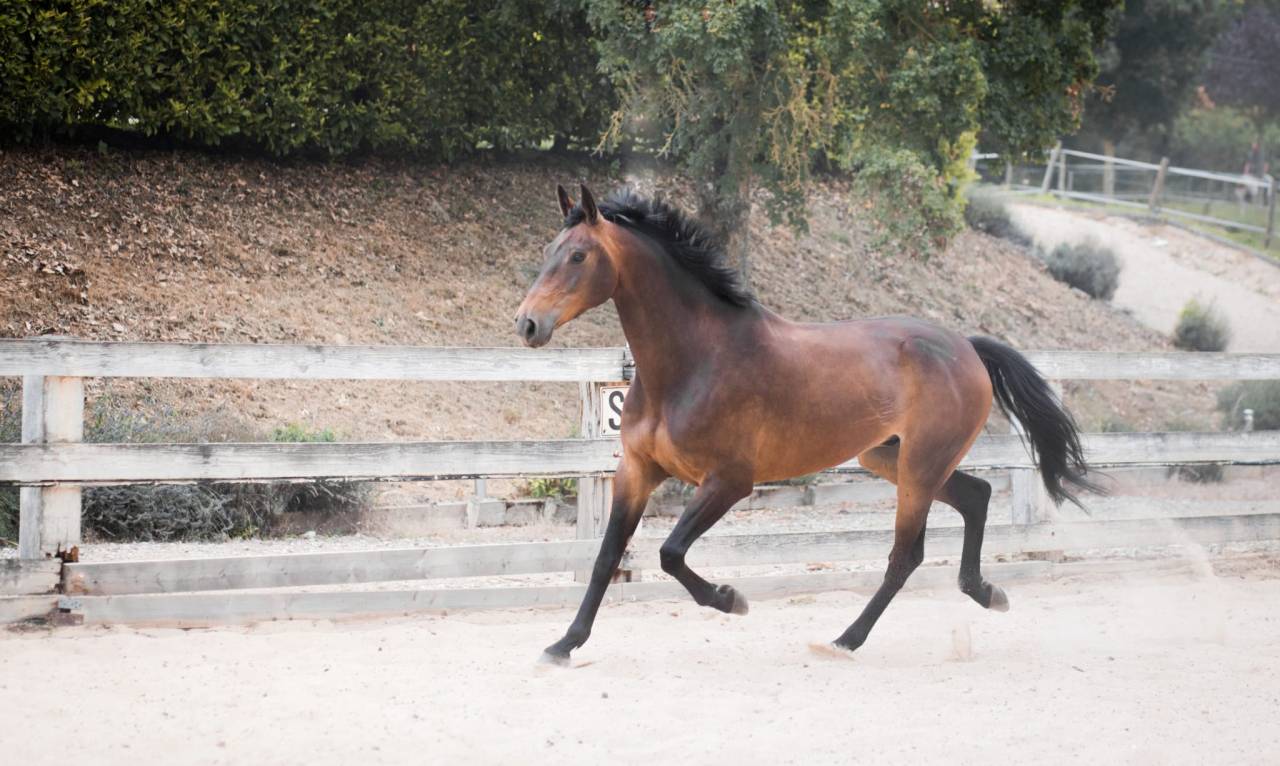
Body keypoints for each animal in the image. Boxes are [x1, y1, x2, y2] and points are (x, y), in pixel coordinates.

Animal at [515, 184, 1096, 664]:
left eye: (578, 255)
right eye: (547, 252)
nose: (527, 325)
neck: (693, 362)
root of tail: (967, 348)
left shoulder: (728, 482)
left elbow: (669, 553)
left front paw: (730, 599)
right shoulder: (636, 471)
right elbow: (606, 556)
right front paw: (563, 645)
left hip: (919, 467)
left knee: (906, 554)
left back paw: (845, 640)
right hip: (889, 456)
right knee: (976, 496)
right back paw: (986, 593)